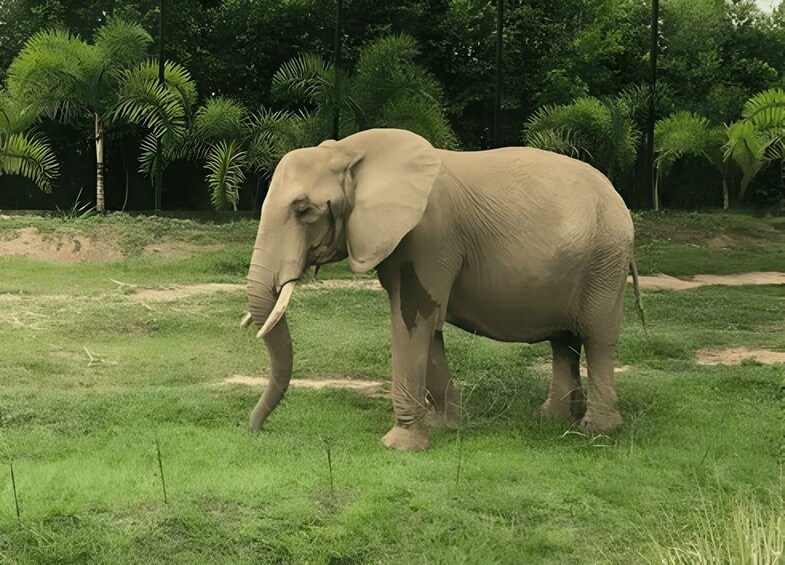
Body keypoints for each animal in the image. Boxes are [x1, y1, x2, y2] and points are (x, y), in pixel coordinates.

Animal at [240, 128, 643, 451]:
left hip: (605, 261)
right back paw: (552, 418)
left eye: (304, 210)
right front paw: (445, 425)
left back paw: (595, 431)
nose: (255, 431)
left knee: (597, 337)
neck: (350, 150)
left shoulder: (428, 238)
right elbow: (426, 325)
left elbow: (412, 321)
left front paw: (400, 446)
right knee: (564, 340)